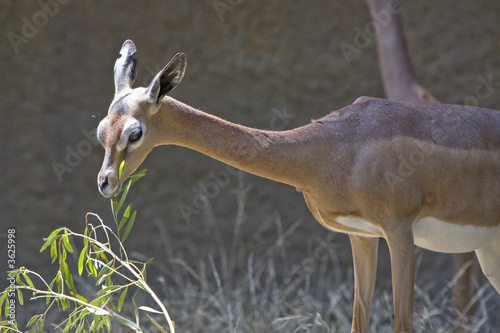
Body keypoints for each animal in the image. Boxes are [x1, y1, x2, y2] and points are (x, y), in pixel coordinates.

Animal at [96, 40, 500, 332]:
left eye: (135, 132)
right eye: (101, 129)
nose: (105, 182)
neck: (337, 146)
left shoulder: (400, 232)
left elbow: (402, 324)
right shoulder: (362, 236)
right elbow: (358, 322)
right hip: (490, 253)